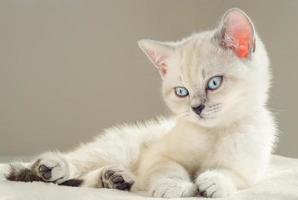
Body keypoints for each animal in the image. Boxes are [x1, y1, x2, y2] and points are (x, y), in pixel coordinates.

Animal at [0, 8, 278, 198]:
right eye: (181, 91)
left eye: (214, 83)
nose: (196, 108)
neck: (213, 133)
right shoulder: (159, 155)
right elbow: (169, 168)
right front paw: (174, 186)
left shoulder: (247, 170)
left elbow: (226, 173)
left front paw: (211, 183)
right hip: (120, 147)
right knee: (80, 162)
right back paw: (51, 167)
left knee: (91, 178)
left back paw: (115, 178)